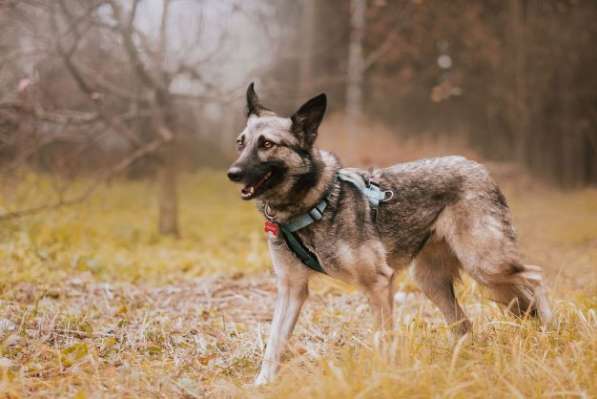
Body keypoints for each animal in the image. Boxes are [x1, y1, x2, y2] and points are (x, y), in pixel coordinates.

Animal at [226, 83, 552, 386]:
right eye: (241, 143)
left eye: (267, 144)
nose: (232, 173)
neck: (314, 203)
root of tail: (479, 168)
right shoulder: (291, 289)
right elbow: (274, 342)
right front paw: (262, 383)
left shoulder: (378, 284)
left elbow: (384, 339)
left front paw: (385, 377)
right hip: (433, 281)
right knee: (464, 324)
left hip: (486, 264)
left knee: (537, 276)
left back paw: (550, 328)